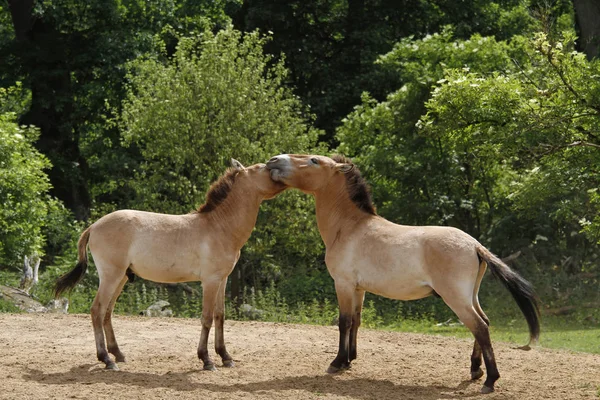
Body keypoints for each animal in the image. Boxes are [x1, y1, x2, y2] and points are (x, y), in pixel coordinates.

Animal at [54, 159, 286, 372]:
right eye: (263, 168)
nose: (278, 168)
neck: (218, 226)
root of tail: (93, 226)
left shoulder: (222, 280)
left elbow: (220, 316)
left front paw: (225, 357)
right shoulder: (210, 282)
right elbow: (207, 318)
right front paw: (207, 360)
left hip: (121, 278)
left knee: (107, 312)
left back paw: (117, 354)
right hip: (111, 277)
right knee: (97, 311)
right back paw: (106, 359)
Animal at [268, 154, 540, 394]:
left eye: (313, 160)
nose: (273, 161)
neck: (349, 227)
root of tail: (475, 245)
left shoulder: (343, 284)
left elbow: (343, 322)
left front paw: (337, 363)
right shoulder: (358, 289)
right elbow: (356, 321)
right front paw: (349, 360)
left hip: (456, 298)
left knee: (480, 327)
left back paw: (489, 381)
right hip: (470, 296)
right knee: (484, 322)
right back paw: (475, 371)